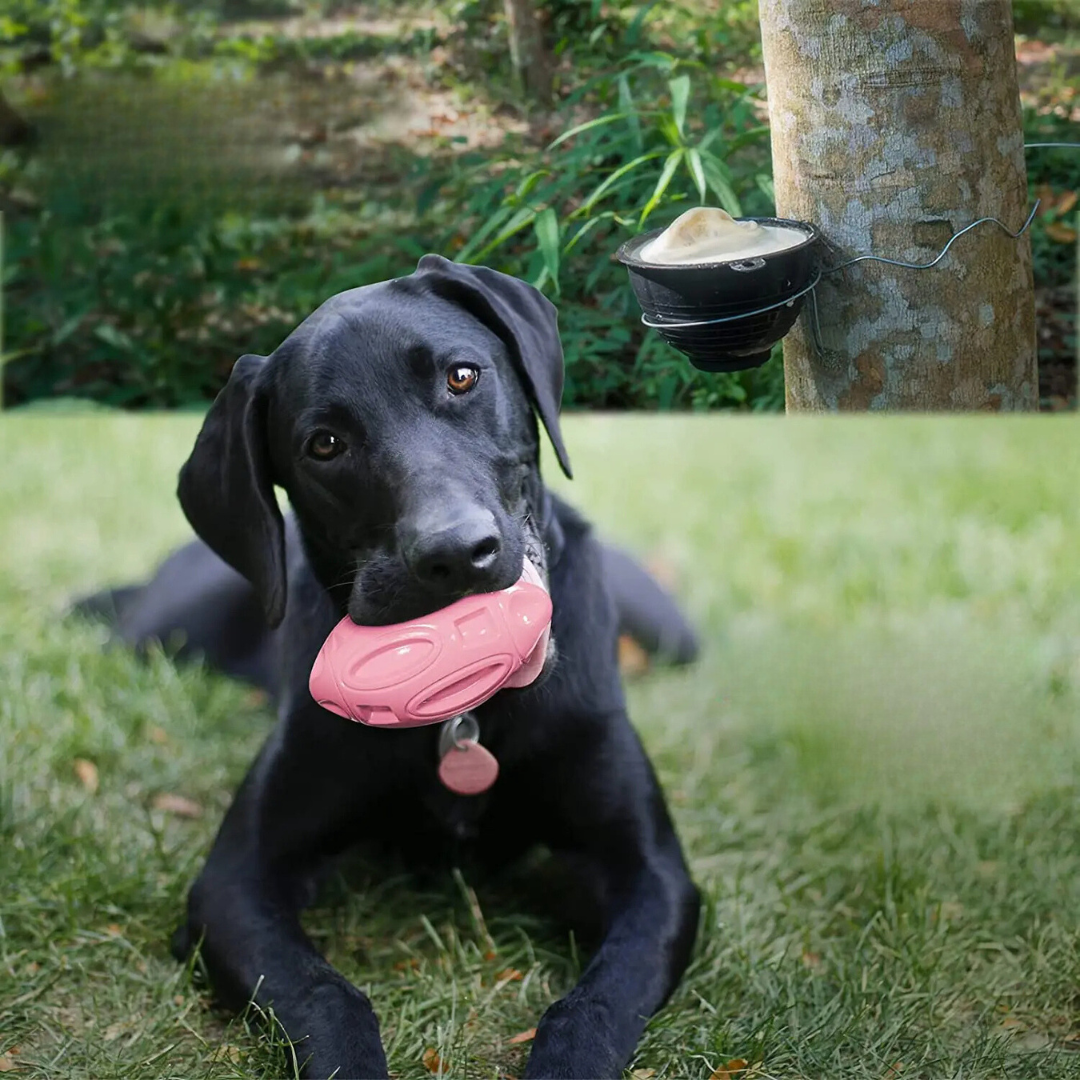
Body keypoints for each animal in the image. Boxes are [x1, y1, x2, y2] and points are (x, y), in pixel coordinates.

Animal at [88, 257, 704, 1075]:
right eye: (323, 444)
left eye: (463, 377)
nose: (456, 555)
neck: (468, 717)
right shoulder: (234, 881)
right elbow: (325, 994)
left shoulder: (653, 875)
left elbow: (596, 1001)